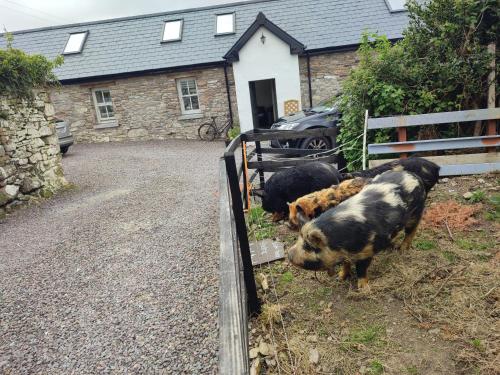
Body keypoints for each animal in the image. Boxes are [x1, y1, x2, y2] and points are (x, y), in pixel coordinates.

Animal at [290, 170, 426, 290]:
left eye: (308, 246)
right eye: (300, 239)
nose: (289, 254)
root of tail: (413, 175)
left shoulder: (367, 250)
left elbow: (361, 269)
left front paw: (363, 289)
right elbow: (345, 264)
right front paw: (340, 278)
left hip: (416, 213)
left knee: (411, 231)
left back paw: (402, 250)